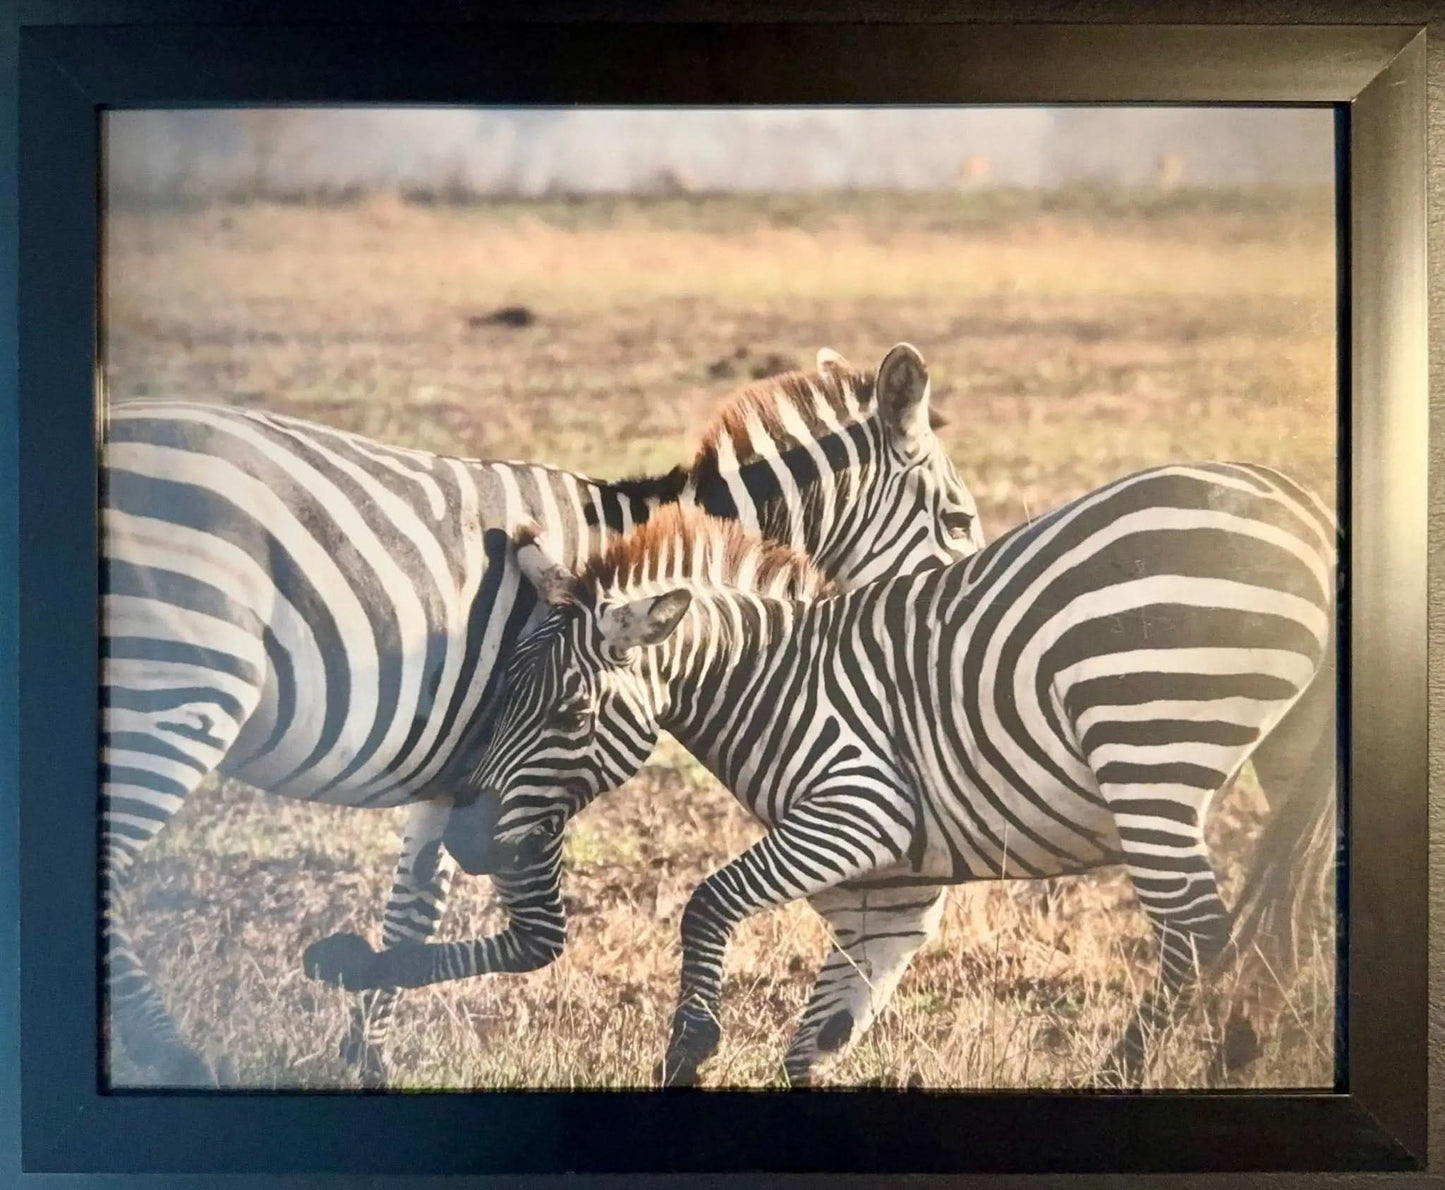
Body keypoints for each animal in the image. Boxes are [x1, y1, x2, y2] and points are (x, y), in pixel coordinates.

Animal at [103, 341, 983, 1085]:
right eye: (959, 521)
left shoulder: (461, 773)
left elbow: (411, 912)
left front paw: (366, 1056)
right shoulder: (534, 764)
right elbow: (534, 935)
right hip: (180, 688)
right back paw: (177, 1061)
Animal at [437, 462, 1336, 1087]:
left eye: (570, 714)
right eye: (503, 692)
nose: (467, 841)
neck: (769, 679)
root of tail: (1298, 507)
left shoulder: (857, 812)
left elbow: (707, 904)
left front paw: (687, 1052)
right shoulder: (886, 889)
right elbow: (818, 1038)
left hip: (1150, 743)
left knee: (1197, 930)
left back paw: (1131, 1071)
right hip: (1286, 756)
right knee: (1298, 918)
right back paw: (1249, 1056)